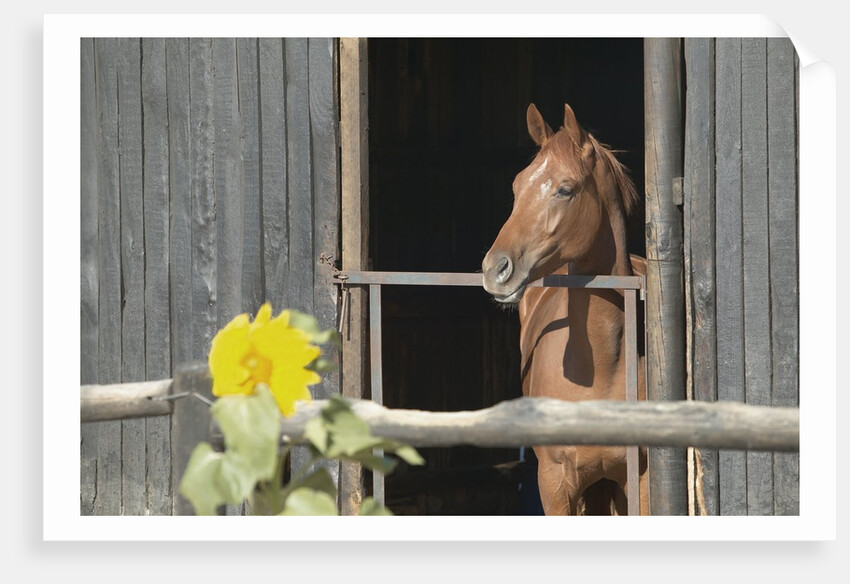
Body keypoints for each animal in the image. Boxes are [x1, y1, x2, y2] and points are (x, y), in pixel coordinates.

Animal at [482, 103, 648, 515]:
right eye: (516, 187)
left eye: (565, 189)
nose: (495, 269)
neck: (602, 368)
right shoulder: (554, 481)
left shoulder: (640, 477)